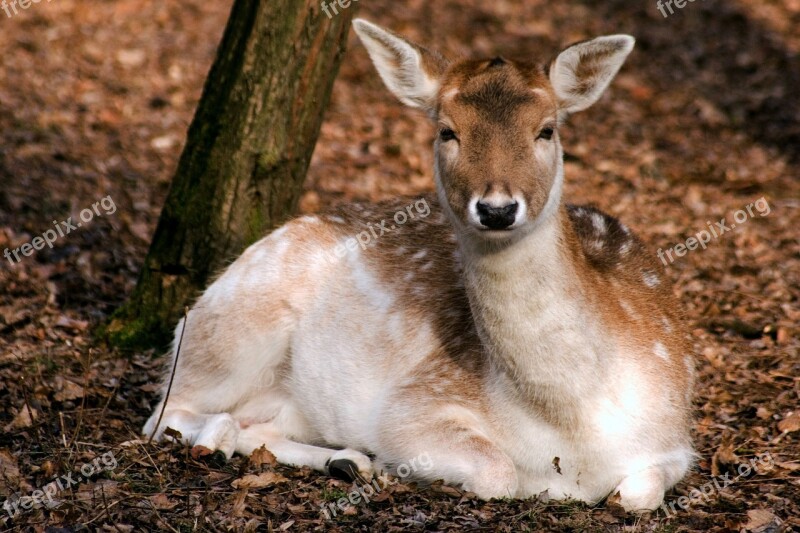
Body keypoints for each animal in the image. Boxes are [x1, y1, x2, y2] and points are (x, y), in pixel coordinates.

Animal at [144, 19, 692, 512]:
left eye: (546, 130)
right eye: (447, 131)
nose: (497, 209)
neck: (574, 430)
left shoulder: (676, 435)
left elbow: (638, 495)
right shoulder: (414, 402)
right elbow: (498, 471)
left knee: (256, 424)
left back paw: (347, 461)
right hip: (231, 329)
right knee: (169, 413)